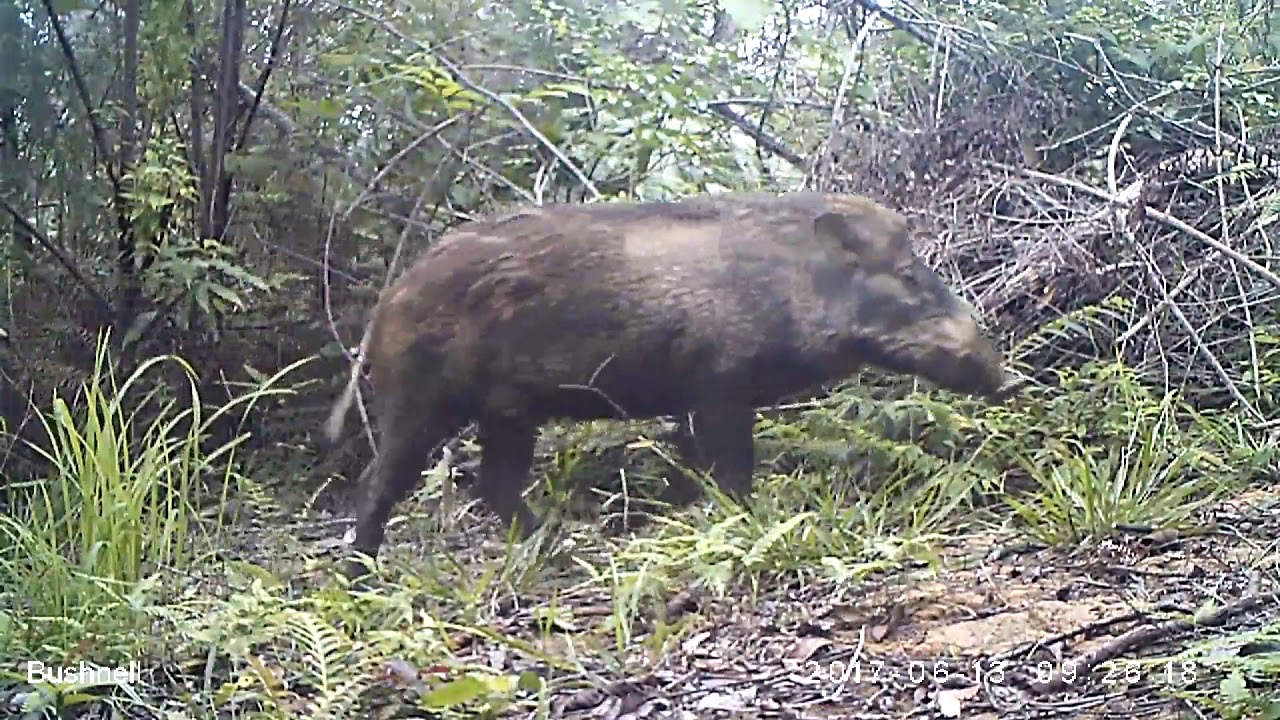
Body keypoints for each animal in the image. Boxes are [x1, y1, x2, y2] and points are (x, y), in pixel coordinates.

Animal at [322, 191, 1009, 580]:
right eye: (908, 277)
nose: (1004, 380)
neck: (793, 282)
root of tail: (386, 305)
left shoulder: (695, 404)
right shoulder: (719, 389)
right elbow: (733, 471)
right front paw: (746, 523)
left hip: (508, 412)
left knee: (494, 484)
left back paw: (561, 548)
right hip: (423, 398)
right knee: (380, 482)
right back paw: (360, 574)